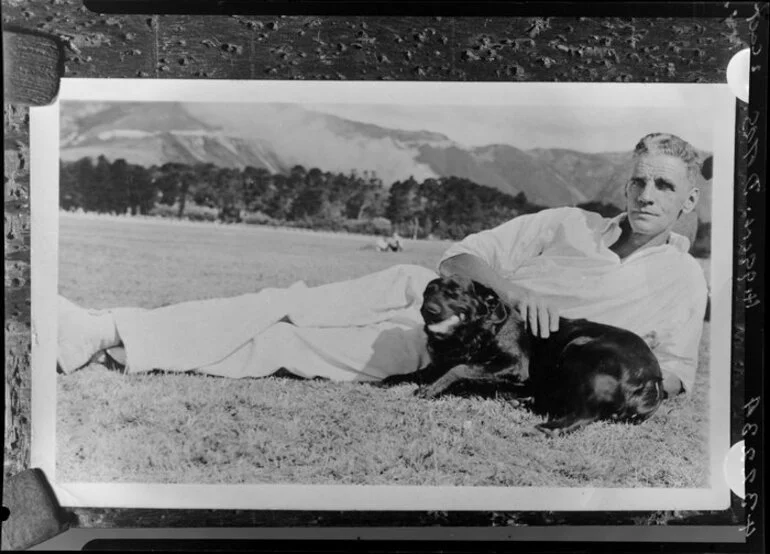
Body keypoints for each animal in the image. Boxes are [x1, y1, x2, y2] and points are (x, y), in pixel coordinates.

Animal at [380, 274, 664, 434]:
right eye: (428, 291)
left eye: (454, 293)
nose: (428, 310)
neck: (477, 331)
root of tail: (653, 379)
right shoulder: (437, 364)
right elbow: (416, 372)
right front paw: (388, 380)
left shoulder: (514, 365)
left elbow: (459, 369)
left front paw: (430, 390)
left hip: (580, 349)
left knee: (585, 414)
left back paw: (545, 427)